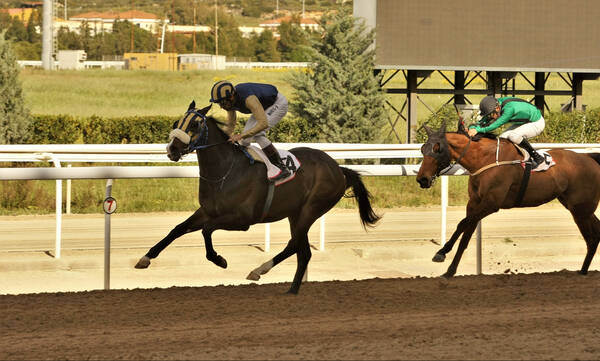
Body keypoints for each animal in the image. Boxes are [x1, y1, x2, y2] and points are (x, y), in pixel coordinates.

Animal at [135, 101, 380, 292]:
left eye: (194, 124)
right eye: (176, 124)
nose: (172, 149)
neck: (224, 172)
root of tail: (339, 169)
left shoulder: (242, 219)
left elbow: (206, 230)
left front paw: (220, 260)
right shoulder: (207, 211)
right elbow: (178, 228)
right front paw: (145, 258)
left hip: (310, 210)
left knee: (297, 246)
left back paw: (270, 277)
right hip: (295, 213)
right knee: (301, 250)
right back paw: (281, 283)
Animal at [418, 120, 600, 276]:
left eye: (437, 148)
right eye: (422, 149)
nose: (422, 179)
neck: (484, 159)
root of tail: (590, 158)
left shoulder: (491, 204)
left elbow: (464, 225)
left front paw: (444, 258)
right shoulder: (474, 202)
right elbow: (464, 232)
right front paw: (447, 264)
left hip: (580, 209)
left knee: (592, 238)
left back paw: (583, 272)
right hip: (577, 207)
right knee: (595, 233)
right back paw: (583, 271)